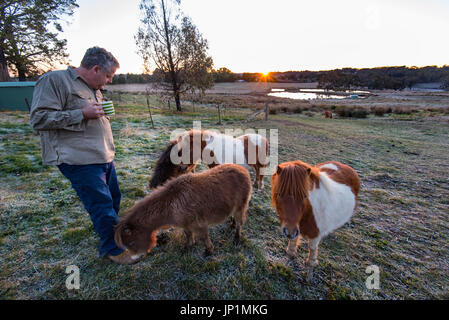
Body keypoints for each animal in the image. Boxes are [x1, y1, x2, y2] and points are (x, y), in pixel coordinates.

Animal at [114, 165, 252, 258]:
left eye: (131, 242)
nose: (135, 258)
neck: (171, 204)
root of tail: (244, 170)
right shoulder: (185, 224)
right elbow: (188, 235)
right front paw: (187, 247)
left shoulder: (199, 225)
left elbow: (204, 238)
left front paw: (208, 251)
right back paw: (232, 224)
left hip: (241, 206)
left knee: (240, 223)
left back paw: (236, 238)